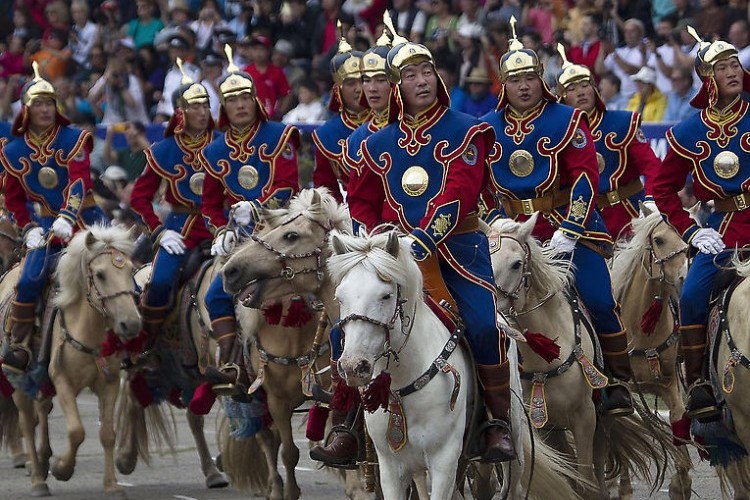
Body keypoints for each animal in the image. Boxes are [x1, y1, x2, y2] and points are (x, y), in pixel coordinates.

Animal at [1, 227, 141, 496]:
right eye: (100, 274)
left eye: (130, 270)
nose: (131, 323)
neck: (88, 329)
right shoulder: (63, 381)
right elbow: (76, 431)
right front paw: (62, 469)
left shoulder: (109, 384)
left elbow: (108, 434)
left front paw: (112, 485)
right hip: (18, 380)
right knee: (27, 423)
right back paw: (38, 478)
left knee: (41, 410)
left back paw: (43, 459)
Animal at [490, 214, 680, 496]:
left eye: (516, 264)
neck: (544, 355)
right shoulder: (542, 426)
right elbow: (569, 475)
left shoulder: (586, 417)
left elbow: (587, 478)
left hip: (602, 419)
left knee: (598, 466)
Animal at [612, 209, 692, 498]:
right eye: (658, 240)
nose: (684, 278)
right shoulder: (622, 388)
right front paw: (624, 487)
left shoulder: (670, 384)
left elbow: (680, 425)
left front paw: (680, 484)